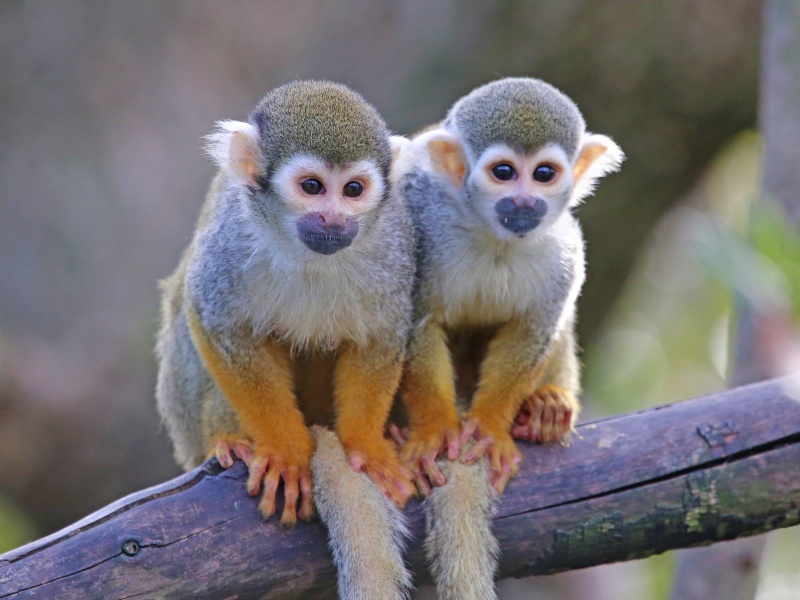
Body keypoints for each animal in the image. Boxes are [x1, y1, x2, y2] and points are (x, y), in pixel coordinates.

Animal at [159, 79, 416, 524]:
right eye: (312, 187)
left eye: (353, 189)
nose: (333, 219)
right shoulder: (230, 240)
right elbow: (215, 322)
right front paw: (285, 450)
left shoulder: (393, 243)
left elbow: (379, 339)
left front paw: (366, 446)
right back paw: (226, 437)